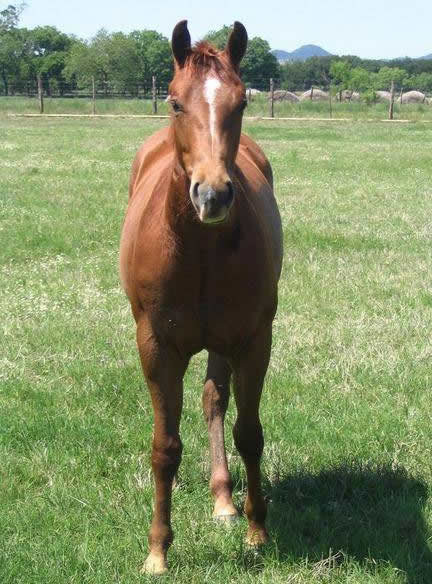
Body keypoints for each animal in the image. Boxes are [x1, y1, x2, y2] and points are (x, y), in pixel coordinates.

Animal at [120, 20, 284, 572]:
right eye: (174, 102)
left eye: (242, 102)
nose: (212, 195)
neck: (200, 251)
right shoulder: (156, 346)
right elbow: (165, 447)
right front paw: (157, 552)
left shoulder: (253, 341)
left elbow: (249, 433)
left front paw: (257, 531)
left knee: (215, 400)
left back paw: (225, 501)